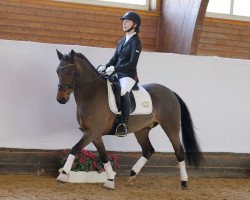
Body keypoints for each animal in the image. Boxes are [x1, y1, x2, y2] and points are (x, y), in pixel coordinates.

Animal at [55, 49, 203, 190]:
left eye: (70, 72)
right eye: (57, 71)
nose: (60, 99)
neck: (92, 92)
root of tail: (171, 92)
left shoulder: (93, 131)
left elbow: (75, 148)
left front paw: (63, 175)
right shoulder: (94, 134)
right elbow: (104, 156)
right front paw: (110, 181)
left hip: (171, 127)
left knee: (179, 152)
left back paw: (183, 182)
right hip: (142, 130)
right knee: (148, 150)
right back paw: (132, 173)